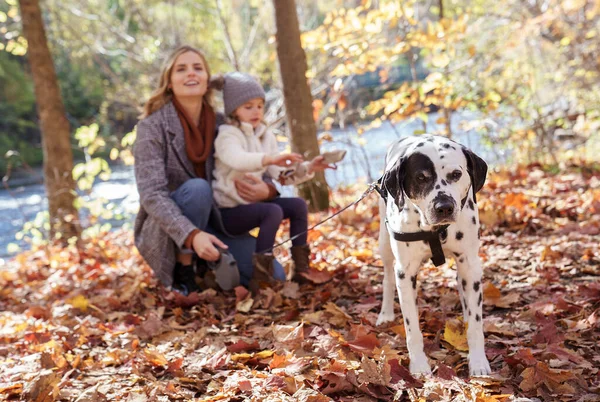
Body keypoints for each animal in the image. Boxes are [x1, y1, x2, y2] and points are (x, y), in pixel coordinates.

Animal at [376, 135, 492, 376]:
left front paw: (478, 361)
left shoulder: (471, 265)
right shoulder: (405, 274)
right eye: (421, 178)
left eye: (456, 174)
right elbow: (412, 328)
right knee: (387, 277)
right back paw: (385, 313)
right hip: (384, 243)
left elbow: (476, 324)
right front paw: (419, 364)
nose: (444, 207)